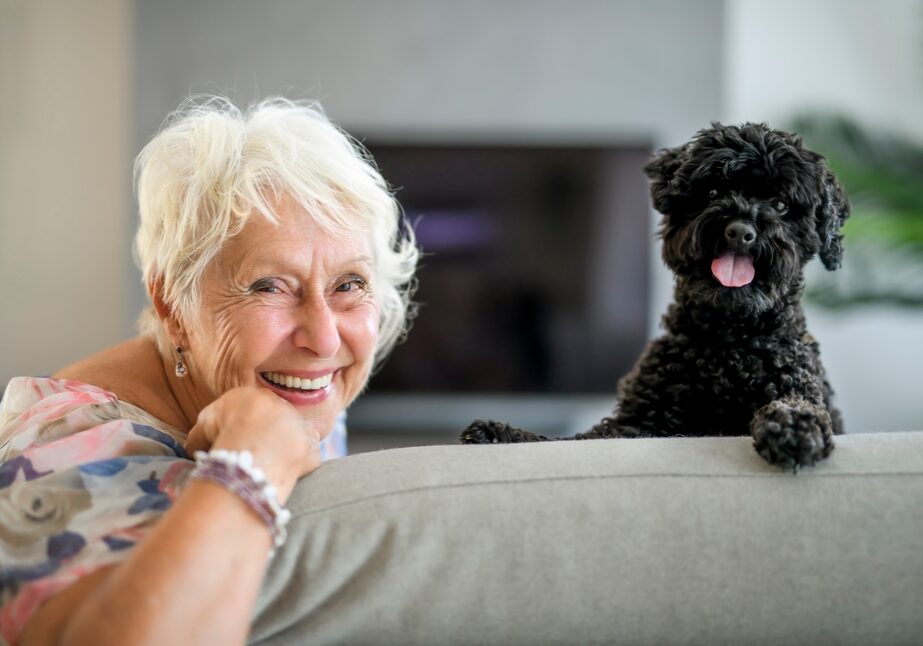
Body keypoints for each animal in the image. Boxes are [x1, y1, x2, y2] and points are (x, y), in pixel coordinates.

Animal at [462, 124, 852, 474]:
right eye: (713, 191)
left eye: (781, 204)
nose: (740, 231)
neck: (727, 344)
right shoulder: (635, 425)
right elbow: (570, 441)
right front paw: (501, 434)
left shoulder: (798, 386)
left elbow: (798, 405)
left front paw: (794, 429)